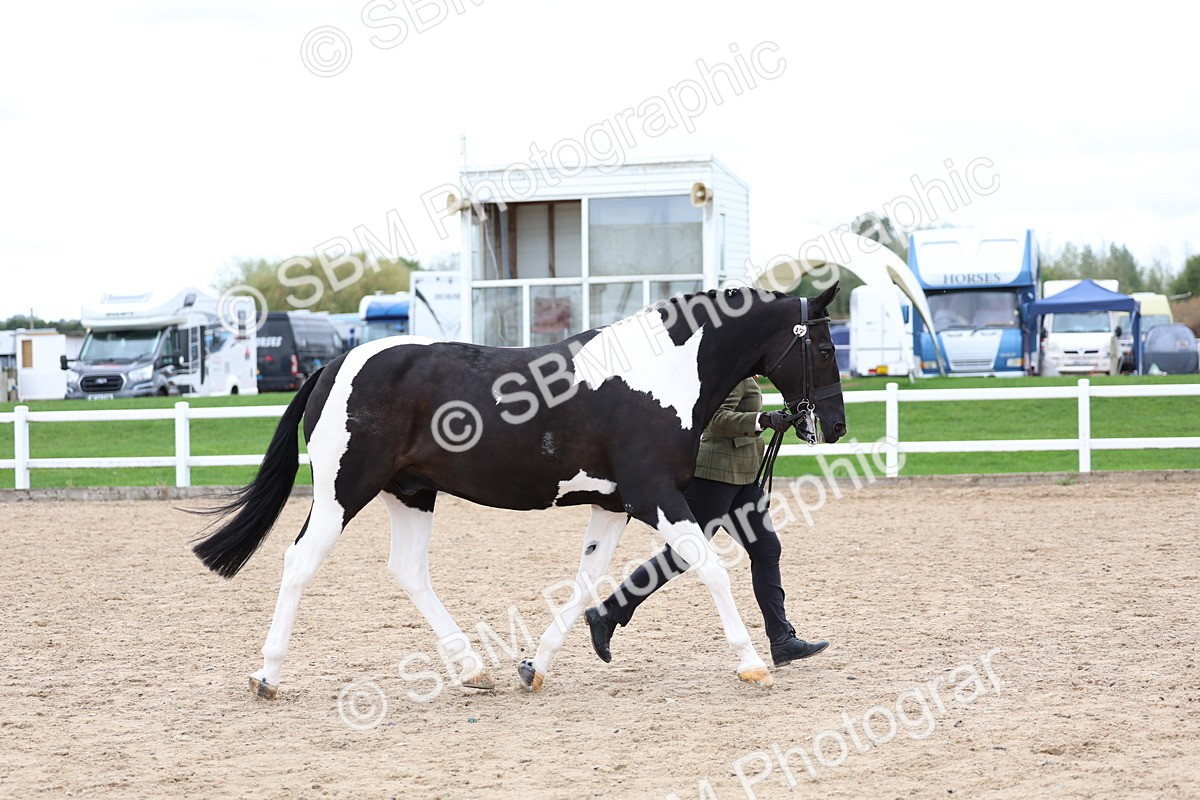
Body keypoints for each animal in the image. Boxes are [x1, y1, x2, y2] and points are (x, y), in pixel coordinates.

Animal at [192, 283, 846, 700]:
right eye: (822, 346)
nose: (835, 425)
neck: (658, 374)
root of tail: (333, 365)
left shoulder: (614, 504)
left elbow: (586, 581)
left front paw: (535, 666)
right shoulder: (655, 494)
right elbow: (711, 568)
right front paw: (753, 664)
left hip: (411, 492)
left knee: (408, 569)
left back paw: (472, 669)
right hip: (342, 492)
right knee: (299, 561)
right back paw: (267, 676)